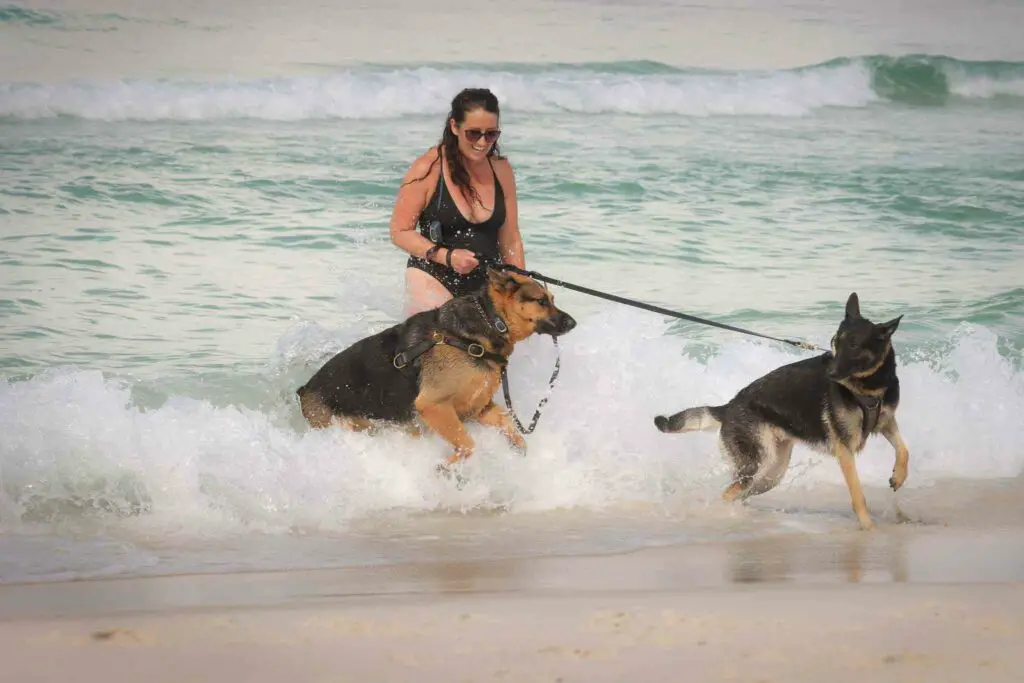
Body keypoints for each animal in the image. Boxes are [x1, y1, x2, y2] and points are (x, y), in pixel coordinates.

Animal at [296, 266, 577, 471]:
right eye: (541, 301)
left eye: (552, 300)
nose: (573, 323)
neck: (488, 324)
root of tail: (304, 389)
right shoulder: (434, 405)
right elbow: (467, 443)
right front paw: (448, 468)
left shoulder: (478, 408)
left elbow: (508, 426)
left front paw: (518, 447)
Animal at [651, 290, 909, 532]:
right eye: (835, 342)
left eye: (854, 345)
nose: (829, 372)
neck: (870, 385)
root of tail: (728, 406)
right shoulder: (845, 449)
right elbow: (858, 494)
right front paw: (868, 527)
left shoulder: (887, 422)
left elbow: (904, 450)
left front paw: (899, 477)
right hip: (758, 466)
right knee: (727, 494)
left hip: (771, 474)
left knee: (740, 493)